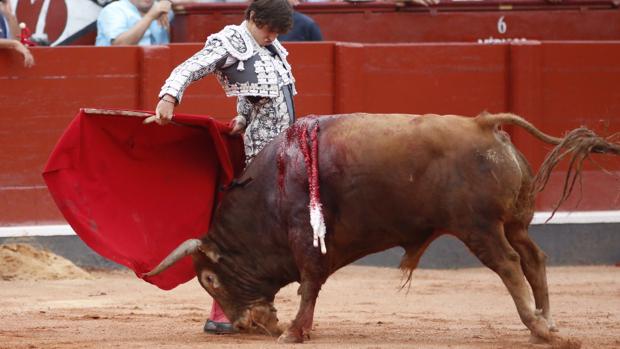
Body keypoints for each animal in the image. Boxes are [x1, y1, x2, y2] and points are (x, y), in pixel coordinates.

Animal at [144, 113, 616, 346]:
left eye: (209, 279)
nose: (245, 325)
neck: (269, 193)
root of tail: (484, 124)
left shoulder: (306, 237)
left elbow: (309, 283)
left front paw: (294, 332)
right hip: (513, 222)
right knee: (534, 259)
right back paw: (546, 323)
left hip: (479, 227)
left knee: (510, 264)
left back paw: (538, 327)